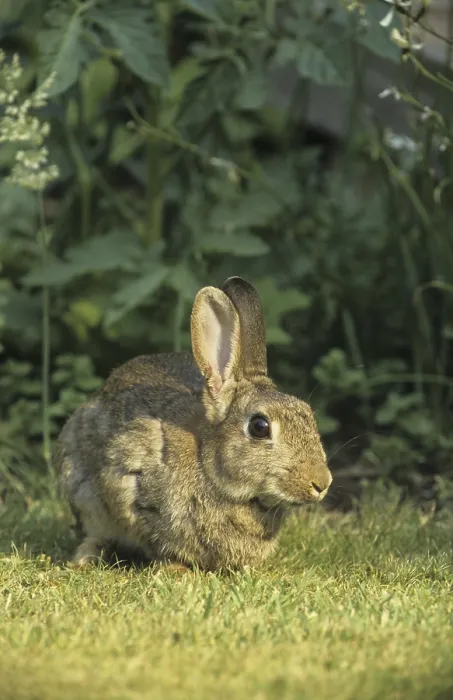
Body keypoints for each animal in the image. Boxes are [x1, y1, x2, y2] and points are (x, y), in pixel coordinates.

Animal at [56, 276, 332, 571]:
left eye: (308, 413)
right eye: (260, 427)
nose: (321, 483)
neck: (209, 465)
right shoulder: (129, 487)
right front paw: (176, 570)